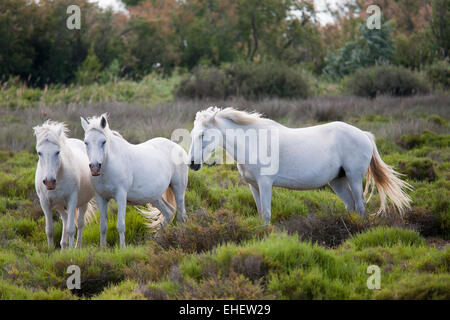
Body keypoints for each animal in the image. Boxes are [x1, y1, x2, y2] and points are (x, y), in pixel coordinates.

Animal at [34, 121, 96, 249]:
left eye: (57, 152)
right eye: (39, 153)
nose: (49, 181)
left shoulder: (72, 200)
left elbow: (71, 229)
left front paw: (71, 251)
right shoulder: (44, 203)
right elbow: (49, 230)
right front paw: (50, 250)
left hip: (83, 203)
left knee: (80, 224)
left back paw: (77, 247)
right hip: (60, 206)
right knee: (65, 219)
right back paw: (64, 246)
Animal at [81, 114, 188, 249]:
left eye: (103, 142)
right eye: (86, 142)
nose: (95, 168)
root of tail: (178, 147)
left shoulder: (121, 196)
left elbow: (120, 225)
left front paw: (122, 248)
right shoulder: (101, 198)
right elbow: (103, 227)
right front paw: (103, 248)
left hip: (178, 189)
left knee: (181, 216)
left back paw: (179, 237)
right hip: (155, 198)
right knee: (169, 213)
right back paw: (157, 240)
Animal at [186, 107, 412, 222]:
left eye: (203, 134)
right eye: (192, 133)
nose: (192, 164)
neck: (253, 142)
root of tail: (364, 135)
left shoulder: (265, 184)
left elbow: (266, 214)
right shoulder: (254, 186)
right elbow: (260, 213)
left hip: (354, 178)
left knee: (361, 205)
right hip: (337, 181)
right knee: (351, 206)